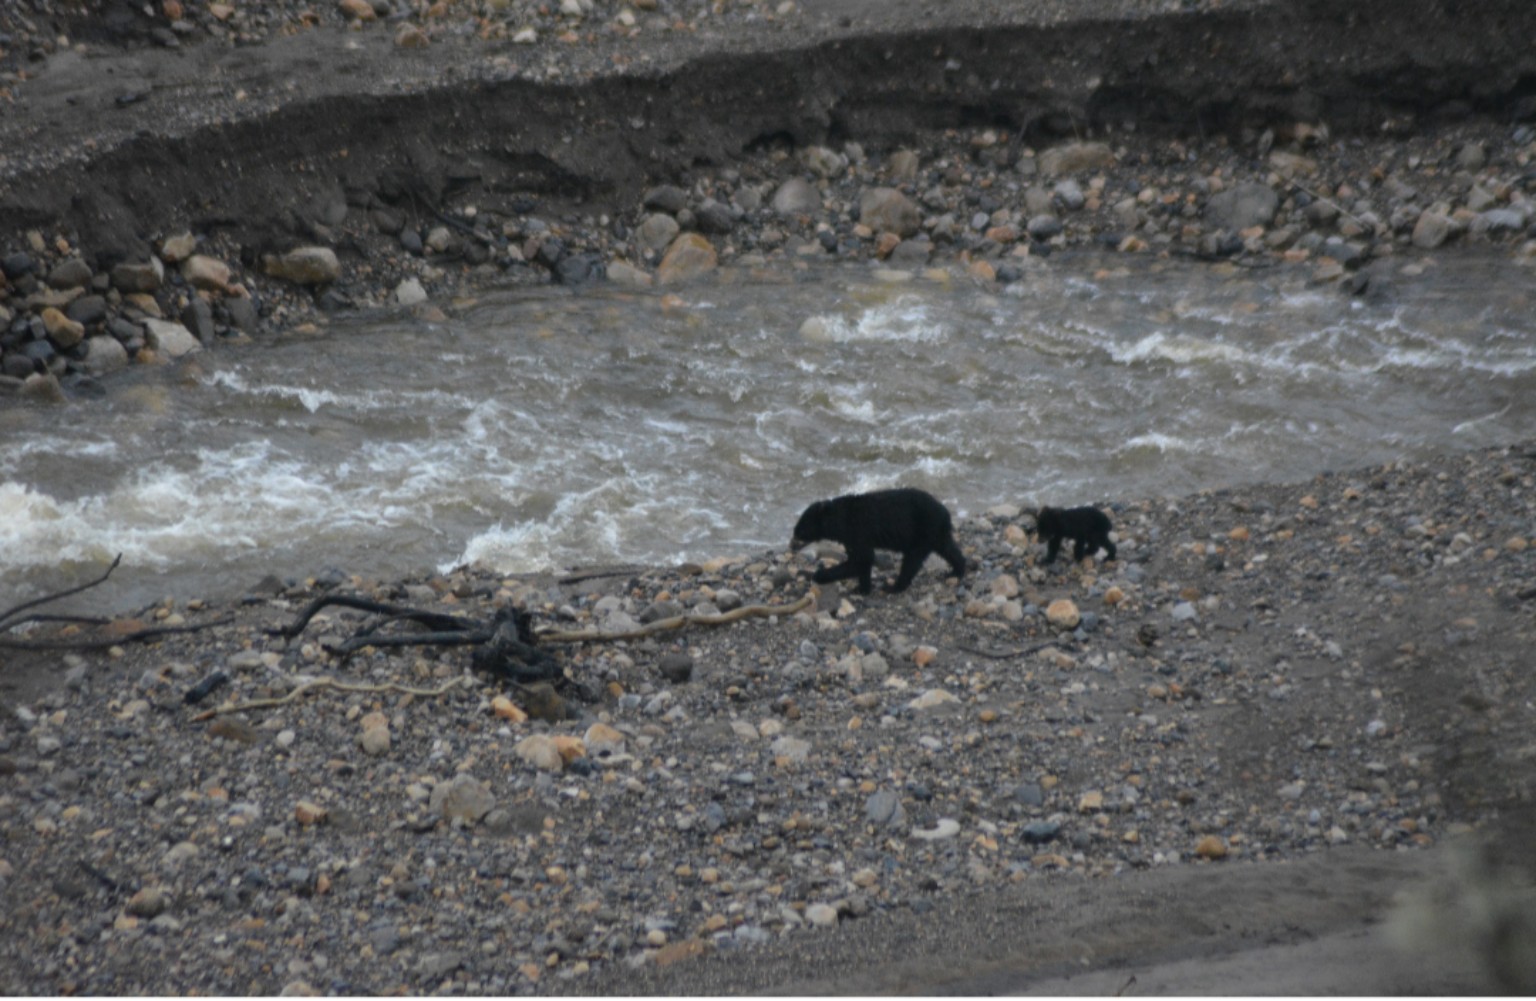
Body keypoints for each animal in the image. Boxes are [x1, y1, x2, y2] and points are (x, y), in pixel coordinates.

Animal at [791, 487, 967, 595]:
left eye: (800, 530)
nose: (791, 545)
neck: (841, 519)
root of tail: (946, 513)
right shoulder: (850, 537)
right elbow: (862, 560)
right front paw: (861, 588)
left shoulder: (857, 531)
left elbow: (861, 559)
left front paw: (820, 575)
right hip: (936, 534)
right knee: (949, 549)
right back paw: (956, 570)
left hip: (922, 532)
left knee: (912, 560)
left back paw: (894, 586)